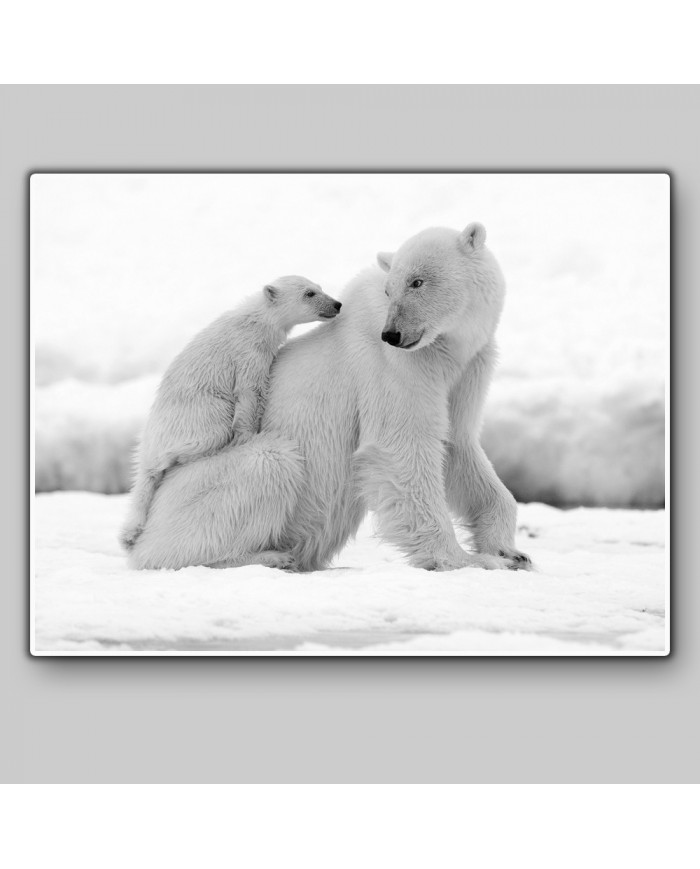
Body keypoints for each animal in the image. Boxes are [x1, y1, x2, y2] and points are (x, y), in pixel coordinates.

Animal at [119, 275, 342, 552]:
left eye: (320, 288)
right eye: (309, 293)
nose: (337, 304)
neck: (256, 319)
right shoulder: (248, 351)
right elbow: (249, 391)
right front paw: (246, 436)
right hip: (197, 413)